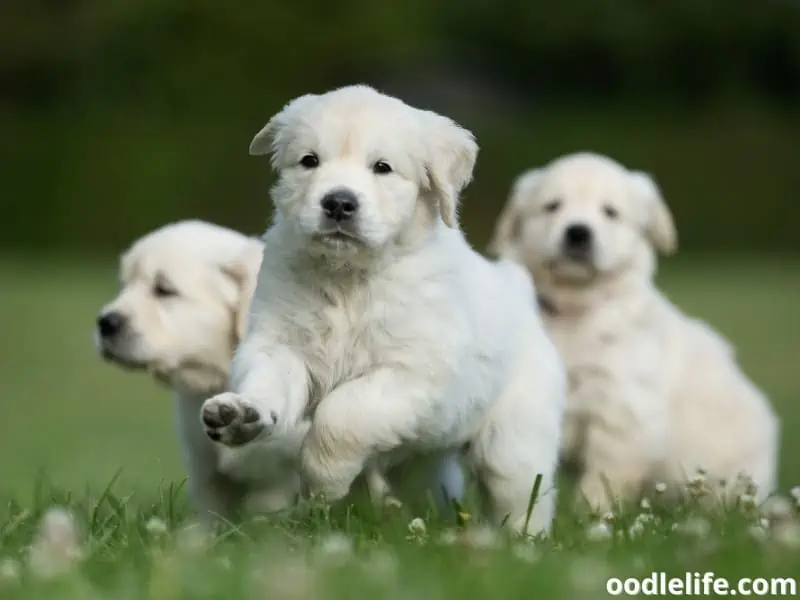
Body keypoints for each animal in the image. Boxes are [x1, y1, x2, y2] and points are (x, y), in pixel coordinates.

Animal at [199, 83, 564, 536]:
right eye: (309, 161)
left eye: (382, 168)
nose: (338, 203)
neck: (348, 278)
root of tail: (517, 287)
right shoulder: (279, 342)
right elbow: (270, 381)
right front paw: (241, 415)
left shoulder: (416, 374)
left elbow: (343, 413)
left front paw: (323, 481)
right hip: (423, 462)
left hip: (514, 441)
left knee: (519, 495)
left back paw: (522, 540)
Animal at [490, 152, 780, 512]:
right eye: (553, 206)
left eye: (610, 212)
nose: (578, 233)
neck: (576, 311)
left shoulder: (623, 413)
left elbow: (603, 480)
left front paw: (592, 515)